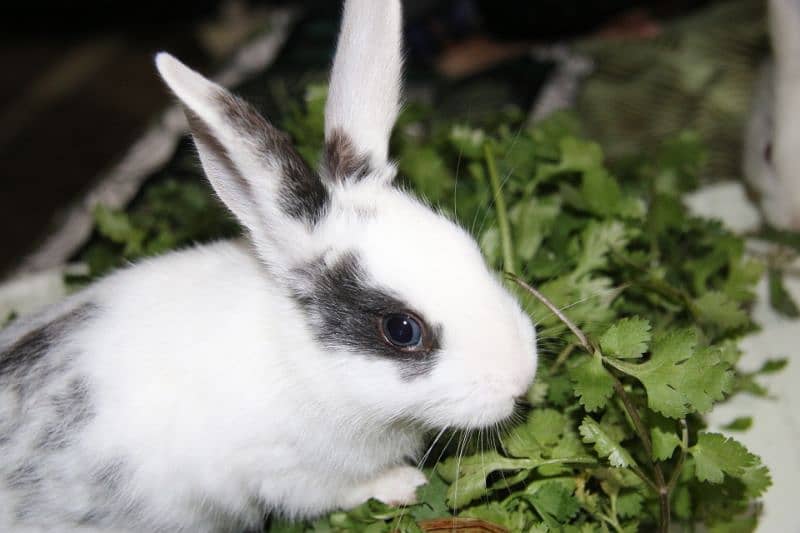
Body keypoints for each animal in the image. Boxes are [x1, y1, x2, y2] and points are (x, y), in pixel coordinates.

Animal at [0, 2, 536, 528]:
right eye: (402, 330)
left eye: (468, 247)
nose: (521, 378)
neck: (306, 359)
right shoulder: (282, 472)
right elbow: (336, 491)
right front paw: (405, 484)